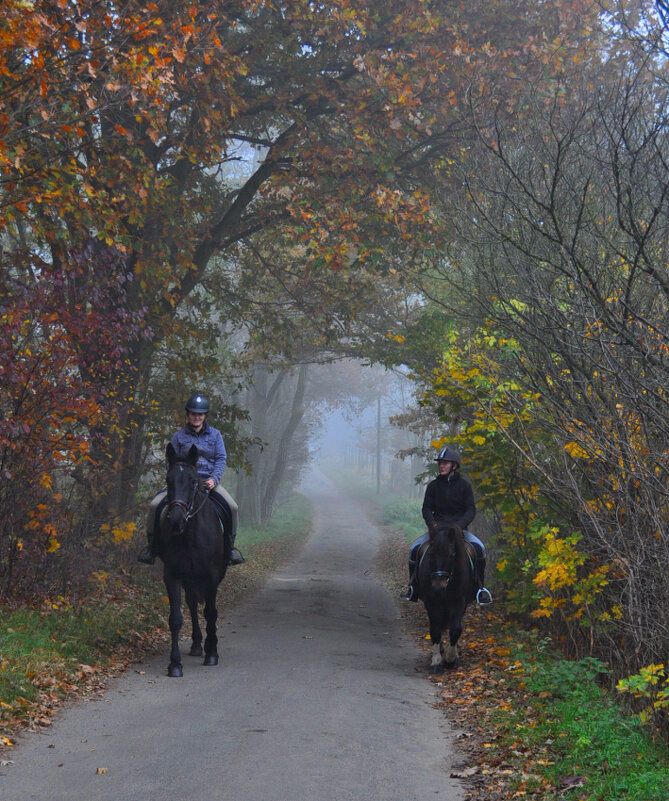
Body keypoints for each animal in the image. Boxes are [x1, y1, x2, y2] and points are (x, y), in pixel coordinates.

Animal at [155, 440, 231, 680]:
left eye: (192, 481)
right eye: (168, 480)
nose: (175, 520)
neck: (189, 534)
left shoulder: (212, 576)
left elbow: (211, 612)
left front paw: (212, 653)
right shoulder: (172, 576)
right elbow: (176, 618)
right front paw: (175, 664)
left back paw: (206, 647)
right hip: (189, 578)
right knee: (191, 603)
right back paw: (197, 644)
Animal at [414, 520, 478, 672]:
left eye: (451, 555)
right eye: (430, 554)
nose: (438, 587)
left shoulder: (459, 601)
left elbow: (455, 628)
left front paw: (450, 659)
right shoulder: (431, 602)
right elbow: (435, 629)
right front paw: (436, 661)